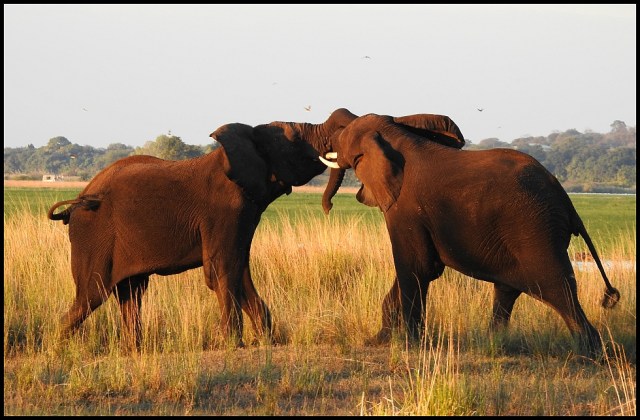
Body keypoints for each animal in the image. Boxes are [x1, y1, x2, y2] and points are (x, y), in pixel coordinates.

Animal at [47, 107, 358, 350]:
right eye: (296, 139)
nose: (328, 207)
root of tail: (78, 200)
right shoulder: (224, 212)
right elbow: (222, 269)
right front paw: (233, 343)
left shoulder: (245, 212)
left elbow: (239, 268)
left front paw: (266, 340)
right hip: (93, 235)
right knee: (91, 295)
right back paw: (57, 347)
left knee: (131, 294)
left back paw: (132, 350)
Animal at [320, 112, 621, 357]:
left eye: (343, 140)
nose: (328, 207)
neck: (395, 136)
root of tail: (565, 197)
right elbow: (424, 268)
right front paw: (379, 340)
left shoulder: (404, 208)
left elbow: (416, 267)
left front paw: (410, 345)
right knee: (508, 291)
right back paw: (495, 345)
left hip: (536, 230)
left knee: (558, 289)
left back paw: (589, 356)